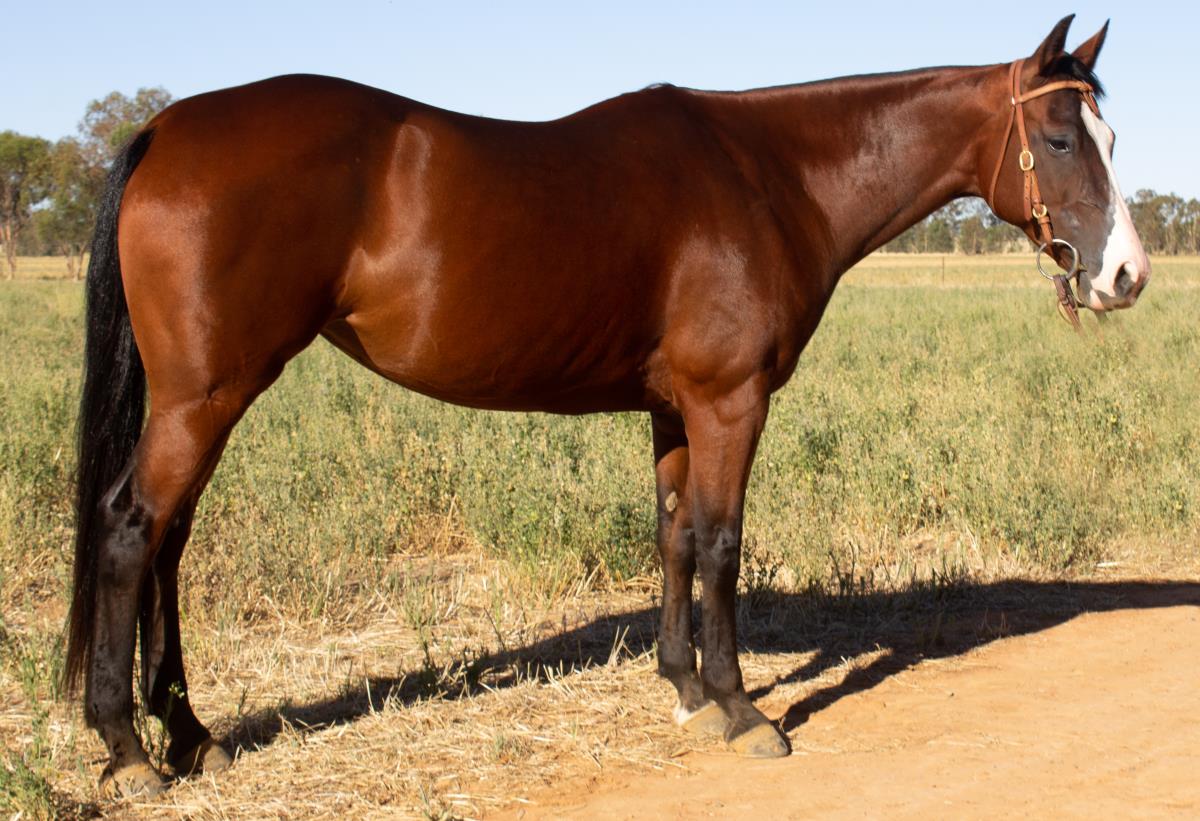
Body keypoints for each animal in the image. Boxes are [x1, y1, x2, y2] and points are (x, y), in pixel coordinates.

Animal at [65, 14, 1148, 796]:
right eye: (1060, 137)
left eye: (1108, 133)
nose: (1126, 276)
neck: (773, 177)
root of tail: (165, 127)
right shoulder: (729, 403)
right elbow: (721, 542)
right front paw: (743, 709)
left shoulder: (675, 408)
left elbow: (673, 536)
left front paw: (685, 690)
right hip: (207, 395)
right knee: (131, 528)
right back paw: (128, 746)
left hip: (205, 399)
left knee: (168, 541)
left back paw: (190, 732)